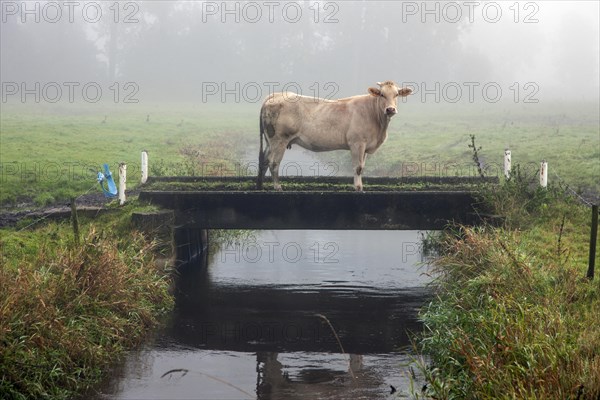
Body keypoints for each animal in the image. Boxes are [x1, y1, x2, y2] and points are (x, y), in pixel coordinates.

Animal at [258, 81, 412, 191]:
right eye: (382, 94)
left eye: (396, 94)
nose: (390, 109)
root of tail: (275, 95)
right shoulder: (357, 143)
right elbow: (358, 167)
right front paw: (358, 188)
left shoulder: (365, 146)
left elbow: (362, 166)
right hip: (279, 140)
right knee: (273, 162)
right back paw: (278, 187)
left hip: (269, 141)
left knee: (264, 161)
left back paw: (260, 186)